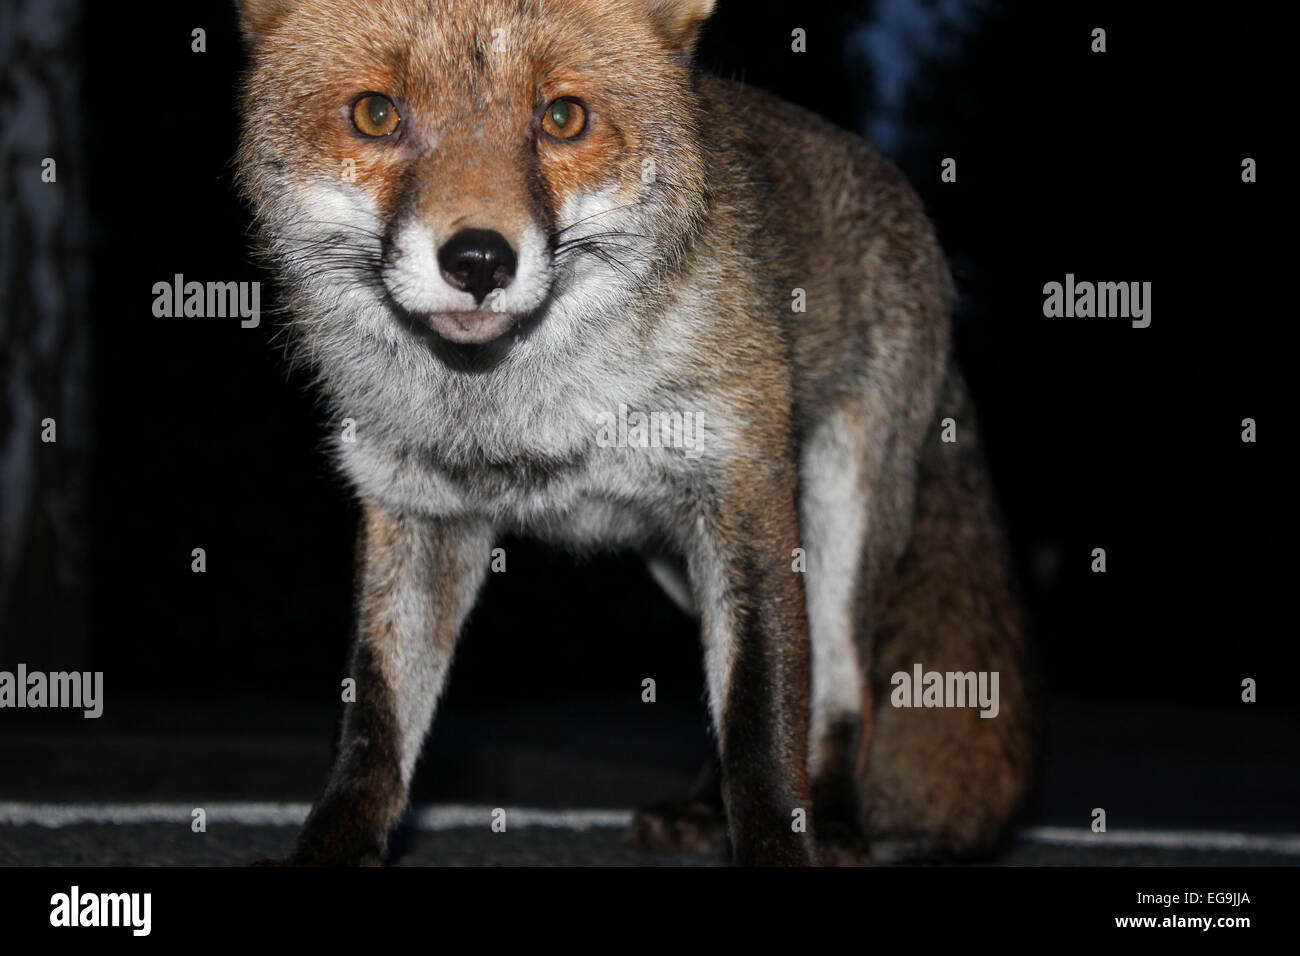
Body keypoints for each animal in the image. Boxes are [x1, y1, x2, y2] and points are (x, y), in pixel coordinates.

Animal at [234, 0, 1035, 866]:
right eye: (376, 115)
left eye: (563, 118)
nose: (479, 261)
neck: (523, 410)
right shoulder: (417, 509)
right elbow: (373, 730)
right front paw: (331, 849)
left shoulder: (744, 489)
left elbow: (763, 720)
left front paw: (779, 842)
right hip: (673, 561)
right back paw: (703, 810)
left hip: (839, 516)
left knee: (842, 687)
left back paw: (835, 822)